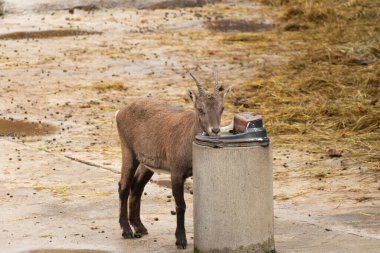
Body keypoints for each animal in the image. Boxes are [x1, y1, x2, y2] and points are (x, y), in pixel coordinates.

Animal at [116, 73, 229, 249]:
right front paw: (180, 240)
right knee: (124, 186)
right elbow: (180, 205)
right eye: (200, 109)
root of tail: (120, 112)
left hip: (147, 163)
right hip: (128, 151)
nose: (215, 130)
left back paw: (140, 227)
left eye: (221, 108)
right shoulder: (176, 172)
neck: (188, 136)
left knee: (137, 187)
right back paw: (126, 230)